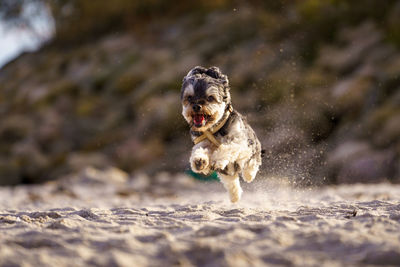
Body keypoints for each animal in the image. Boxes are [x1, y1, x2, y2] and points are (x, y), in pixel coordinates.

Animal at [181, 66, 262, 203]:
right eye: (189, 97)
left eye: (210, 97)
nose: (196, 106)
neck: (215, 129)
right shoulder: (202, 141)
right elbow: (199, 149)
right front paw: (199, 160)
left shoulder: (240, 141)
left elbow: (227, 147)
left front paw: (217, 159)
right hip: (229, 171)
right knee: (231, 181)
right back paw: (235, 196)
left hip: (252, 149)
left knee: (251, 164)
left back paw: (249, 175)